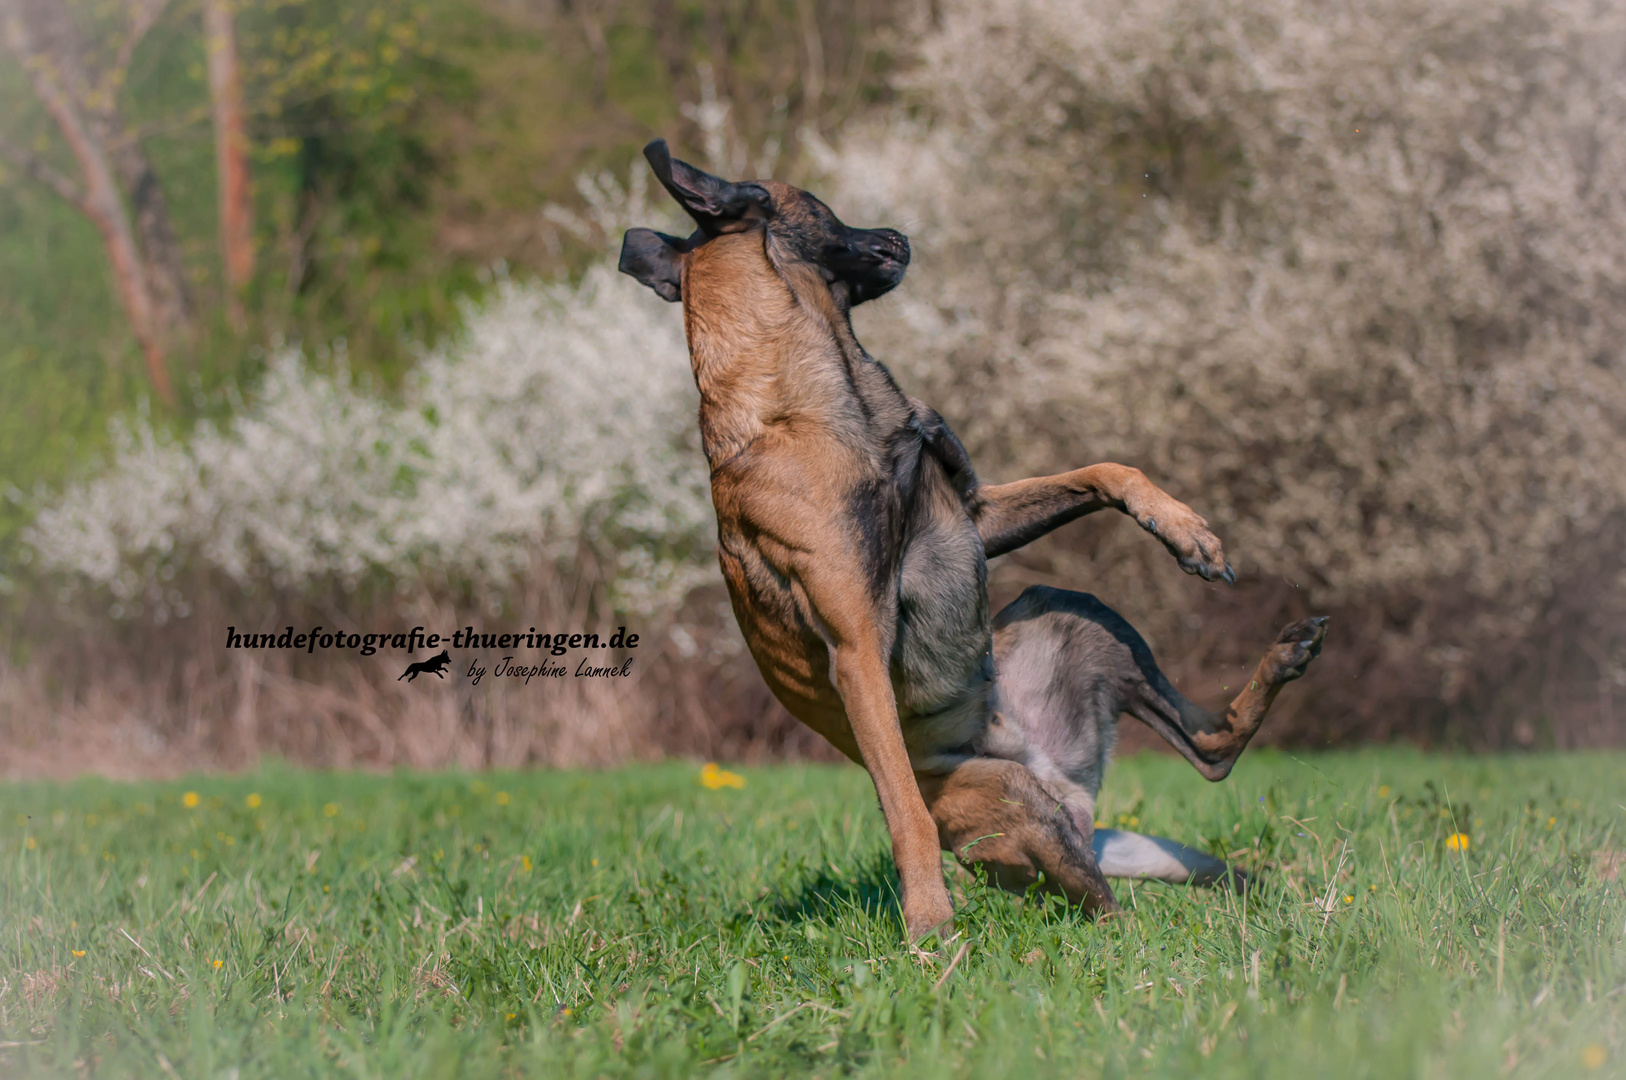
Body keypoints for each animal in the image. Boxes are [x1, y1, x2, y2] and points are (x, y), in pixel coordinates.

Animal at [614, 141, 1326, 936]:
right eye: (822, 204)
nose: (899, 232)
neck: (815, 399)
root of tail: (1066, 795)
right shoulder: (856, 645)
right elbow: (903, 813)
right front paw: (929, 927)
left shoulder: (975, 516)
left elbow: (1106, 470)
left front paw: (1184, 530)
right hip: (1014, 799)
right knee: (1109, 902)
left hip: (1077, 615)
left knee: (1210, 751)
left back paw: (1287, 658)